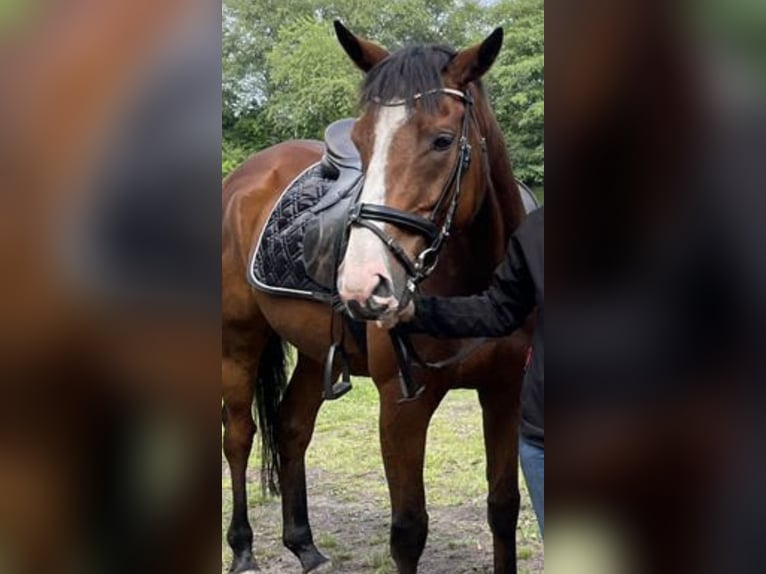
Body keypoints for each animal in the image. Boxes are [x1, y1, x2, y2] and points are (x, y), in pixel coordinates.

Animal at [224, 21, 536, 574]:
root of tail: (242, 178)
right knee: (239, 436)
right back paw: (242, 549)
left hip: (313, 353)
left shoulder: (504, 392)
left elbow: (503, 508)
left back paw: (304, 545)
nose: (362, 284)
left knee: (292, 427)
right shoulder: (401, 407)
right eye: (362, 141)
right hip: (238, 339)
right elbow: (409, 532)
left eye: (442, 140)